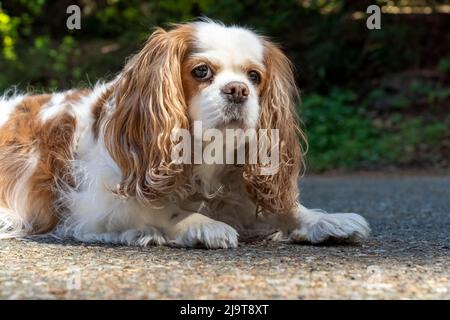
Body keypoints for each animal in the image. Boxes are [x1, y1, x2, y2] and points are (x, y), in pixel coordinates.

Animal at [0, 20, 370, 249]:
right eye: (202, 71)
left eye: (254, 77)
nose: (238, 90)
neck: (206, 154)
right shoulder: (95, 204)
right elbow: (158, 210)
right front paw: (201, 223)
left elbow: (285, 207)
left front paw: (325, 220)